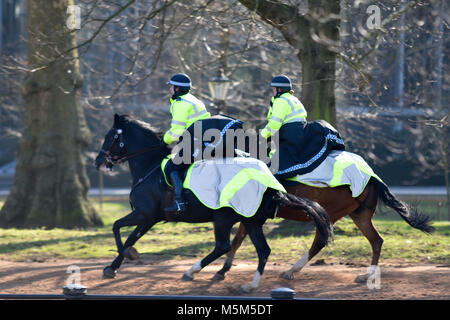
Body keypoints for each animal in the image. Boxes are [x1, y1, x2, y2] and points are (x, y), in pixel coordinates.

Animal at [93, 114, 332, 292]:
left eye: (109, 137)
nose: (98, 162)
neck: (149, 166)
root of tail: (270, 185)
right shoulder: (149, 219)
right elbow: (128, 235)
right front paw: (118, 262)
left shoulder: (145, 215)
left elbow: (118, 229)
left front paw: (120, 260)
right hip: (251, 220)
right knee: (263, 250)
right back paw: (249, 285)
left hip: (223, 217)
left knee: (223, 246)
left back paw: (192, 271)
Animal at [214, 155, 436, 282]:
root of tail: (372, 177)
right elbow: (237, 240)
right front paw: (223, 270)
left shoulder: (249, 215)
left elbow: (236, 241)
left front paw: (222, 270)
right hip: (359, 216)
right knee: (376, 241)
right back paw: (367, 274)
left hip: (330, 215)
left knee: (319, 242)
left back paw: (291, 270)